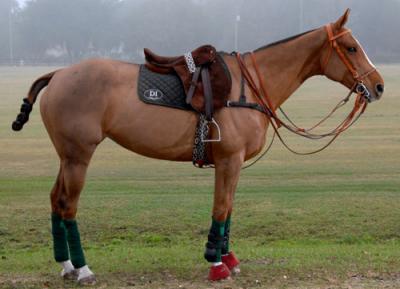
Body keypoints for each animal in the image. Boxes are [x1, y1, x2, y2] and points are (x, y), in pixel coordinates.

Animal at [10, 9, 382, 284]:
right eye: (351, 47)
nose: (378, 86)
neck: (249, 87)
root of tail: (58, 74)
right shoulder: (229, 159)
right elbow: (220, 208)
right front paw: (216, 264)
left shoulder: (233, 163)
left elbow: (229, 208)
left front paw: (229, 258)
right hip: (79, 156)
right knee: (68, 206)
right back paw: (83, 268)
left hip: (67, 156)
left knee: (55, 200)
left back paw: (66, 266)